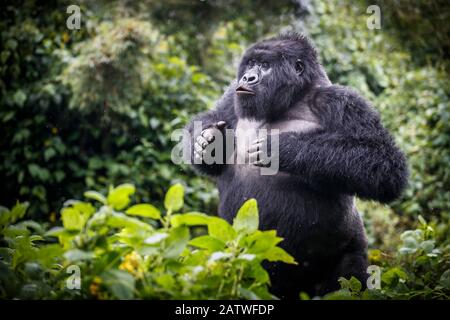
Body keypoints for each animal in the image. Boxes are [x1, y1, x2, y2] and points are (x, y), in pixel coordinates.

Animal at [184, 32, 408, 298]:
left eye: (265, 66)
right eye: (251, 64)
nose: (248, 77)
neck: (294, 97)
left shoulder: (342, 101)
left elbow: (385, 163)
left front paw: (283, 149)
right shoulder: (232, 93)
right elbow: (213, 122)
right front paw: (208, 141)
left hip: (351, 251)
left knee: (348, 277)